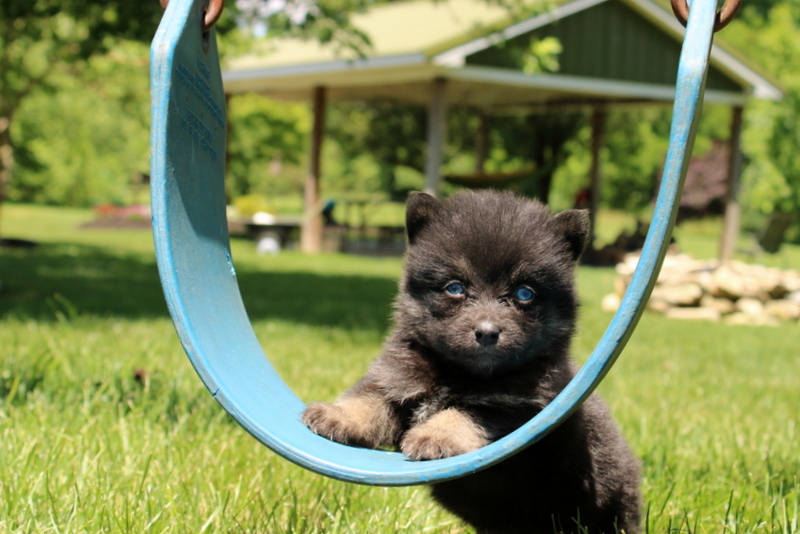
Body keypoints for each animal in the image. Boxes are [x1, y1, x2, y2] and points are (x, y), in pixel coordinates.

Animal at [304, 191, 640, 532]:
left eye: (524, 293)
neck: (459, 372)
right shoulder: (397, 379)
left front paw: (434, 436)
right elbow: (369, 401)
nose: (487, 332)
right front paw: (337, 415)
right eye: (455, 288)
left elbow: (464, 413)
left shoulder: (518, 409)